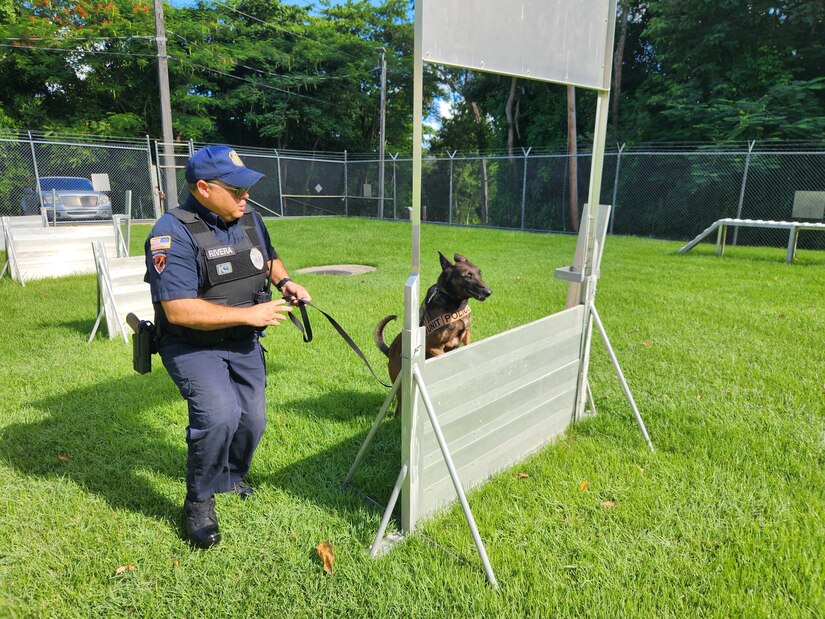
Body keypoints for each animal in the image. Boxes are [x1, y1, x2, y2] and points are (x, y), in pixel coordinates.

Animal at [376, 252, 492, 416]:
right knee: (400, 404)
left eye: (479, 273)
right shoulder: (434, 347)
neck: (454, 305)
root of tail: (390, 349)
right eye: (468, 276)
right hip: (400, 381)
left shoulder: (466, 334)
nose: (488, 292)